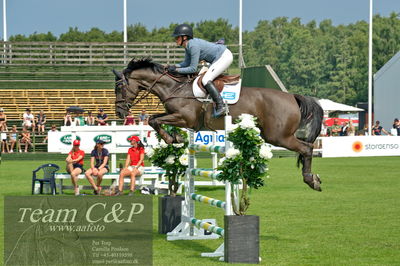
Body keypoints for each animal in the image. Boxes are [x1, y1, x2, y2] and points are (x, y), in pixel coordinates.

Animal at [113, 58, 324, 191]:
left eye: (119, 87)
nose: (119, 113)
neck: (176, 88)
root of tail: (292, 96)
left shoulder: (186, 118)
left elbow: (154, 120)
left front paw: (172, 138)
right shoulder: (175, 115)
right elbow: (154, 119)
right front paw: (176, 137)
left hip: (278, 136)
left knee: (306, 148)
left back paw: (311, 180)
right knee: (306, 147)